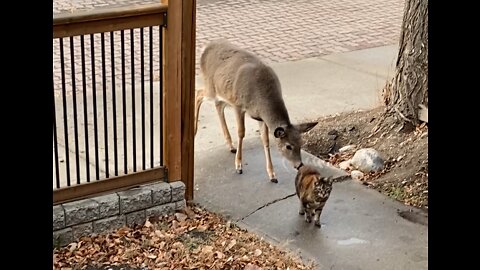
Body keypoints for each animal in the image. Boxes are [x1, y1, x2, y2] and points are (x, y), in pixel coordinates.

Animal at [193, 39, 316, 184]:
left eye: (301, 143)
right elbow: (241, 133)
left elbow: (266, 140)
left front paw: (272, 175)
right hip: (211, 87)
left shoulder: (260, 118)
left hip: (222, 92)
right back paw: (194, 131)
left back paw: (231, 145)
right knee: (198, 94)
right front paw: (238, 166)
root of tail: (205, 48)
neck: (260, 97)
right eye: (288, 146)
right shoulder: (238, 105)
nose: (299, 165)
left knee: (218, 105)